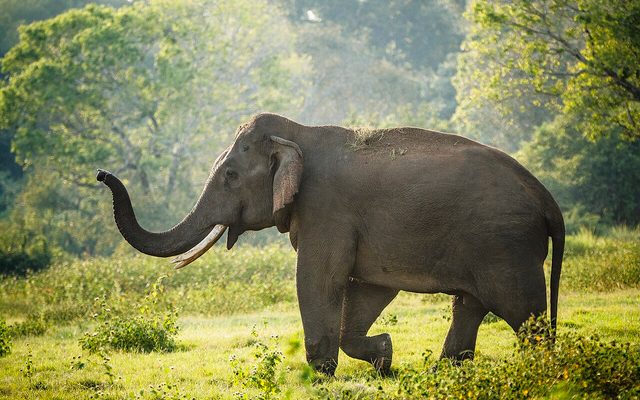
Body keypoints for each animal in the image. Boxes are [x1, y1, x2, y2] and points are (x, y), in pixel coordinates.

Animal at [97, 113, 564, 375]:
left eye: (230, 175)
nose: (101, 173)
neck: (299, 134)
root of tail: (547, 199)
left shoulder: (327, 210)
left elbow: (318, 279)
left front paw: (323, 373)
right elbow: (368, 289)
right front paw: (384, 358)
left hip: (507, 248)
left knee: (525, 316)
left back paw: (541, 370)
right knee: (469, 306)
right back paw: (444, 373)